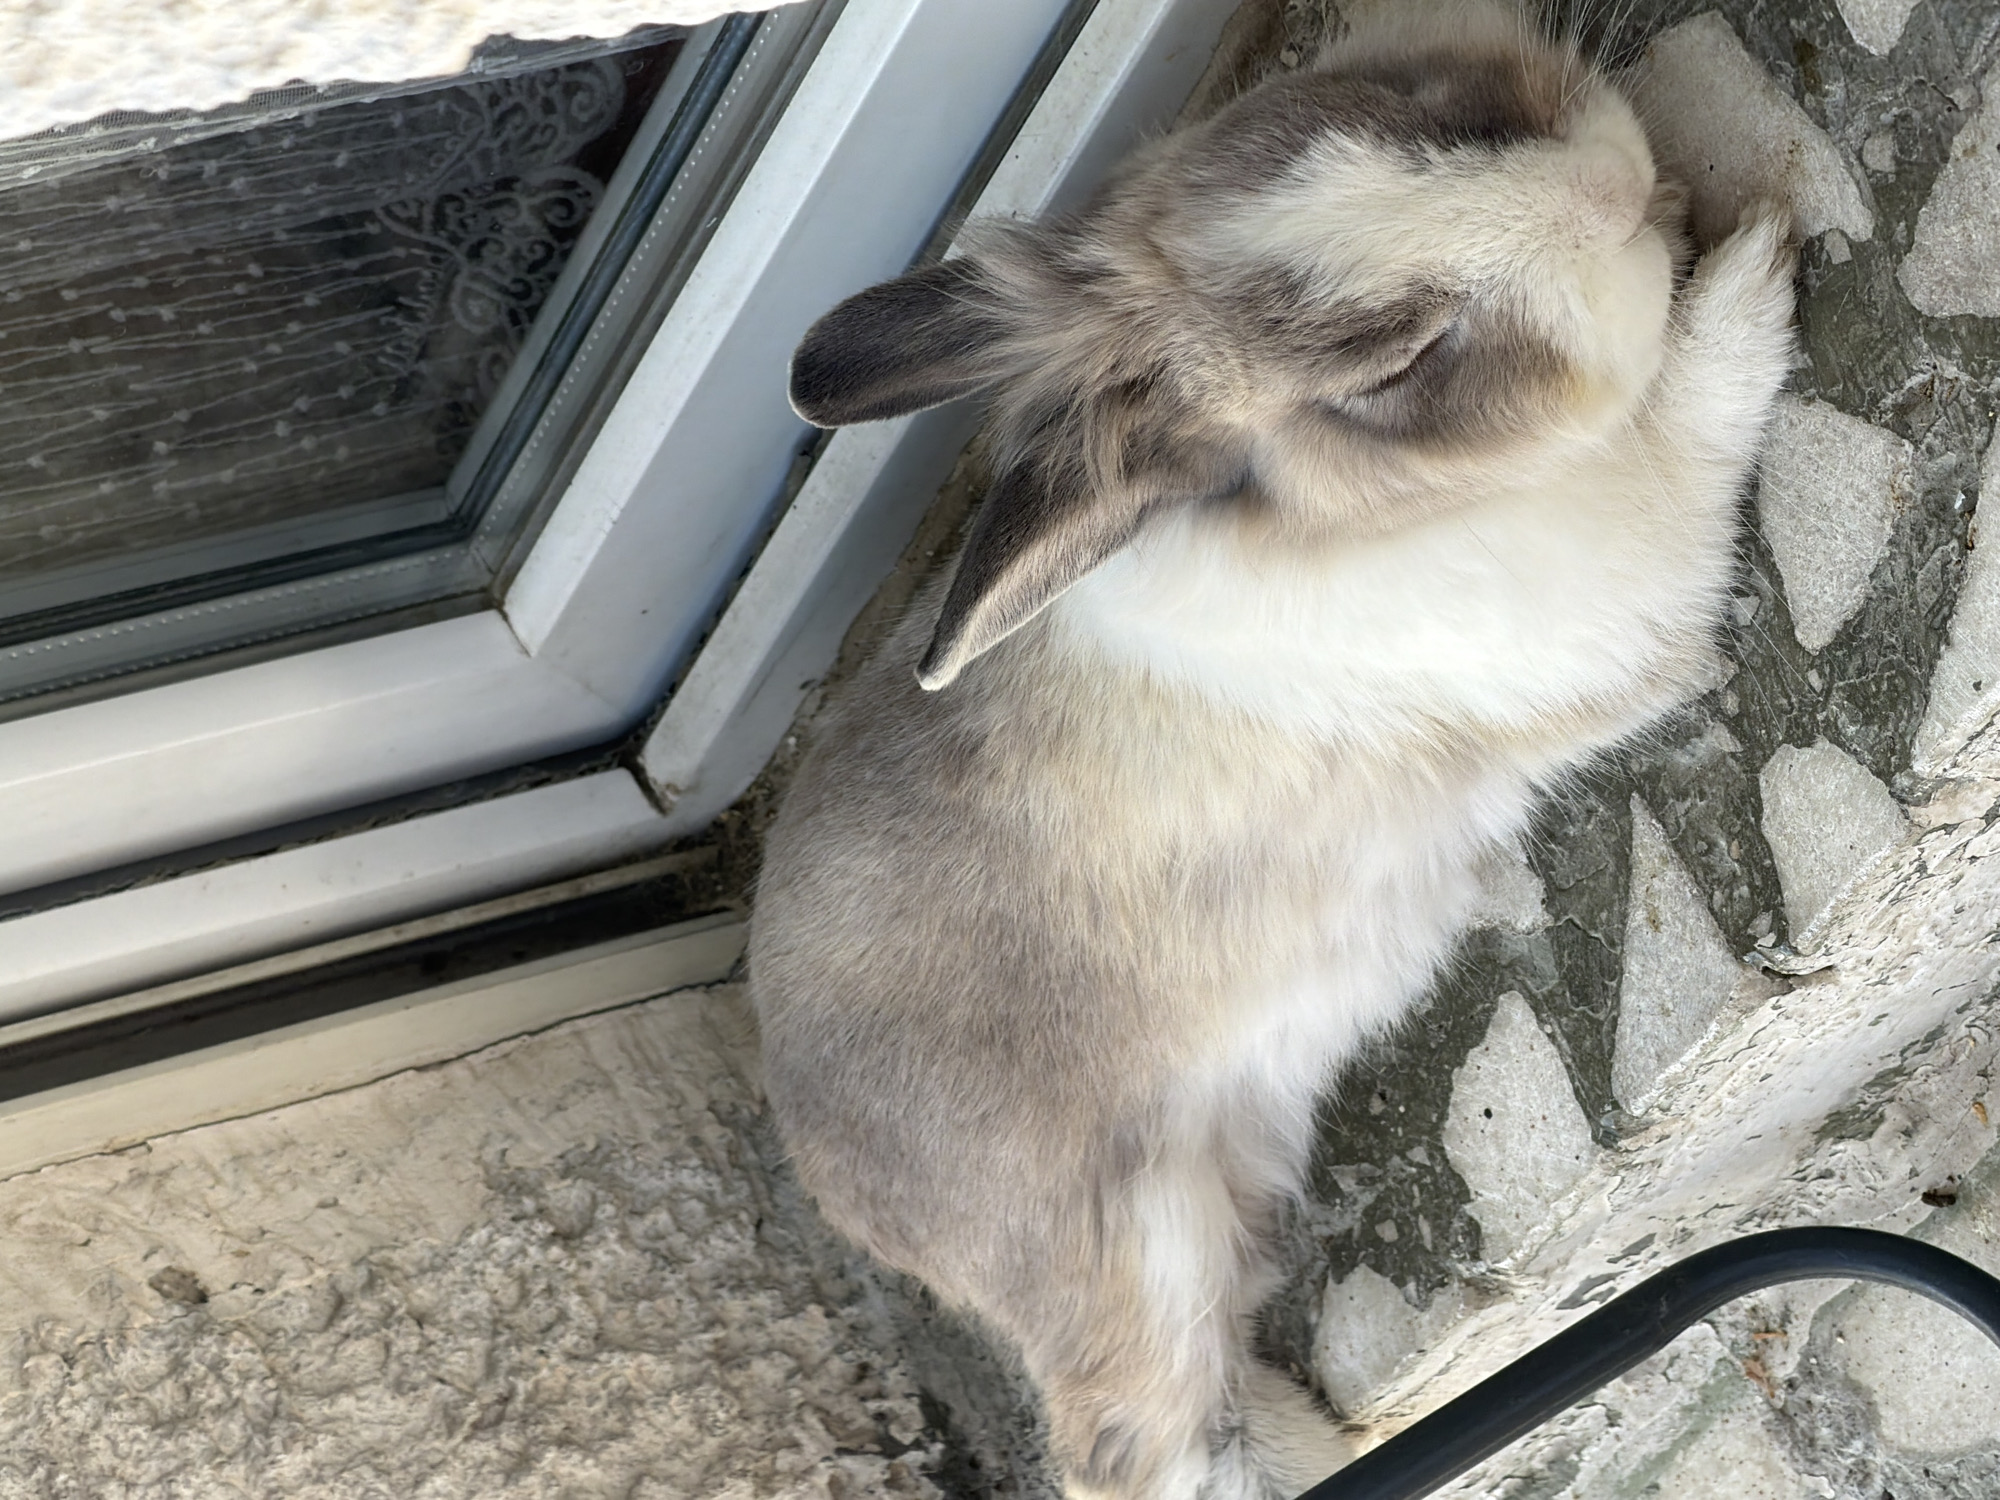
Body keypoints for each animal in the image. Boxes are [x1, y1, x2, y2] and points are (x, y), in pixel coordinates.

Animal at [750, 3, 1797, 1496]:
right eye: (1398, 367)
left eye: (1411, 117)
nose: (1605, 188)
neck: (1334, 516)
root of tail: (830, 1173)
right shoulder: (1635, 567)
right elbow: (1699, 415)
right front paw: (1759, 259)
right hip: (1136, 1263)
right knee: (1146, 1442)